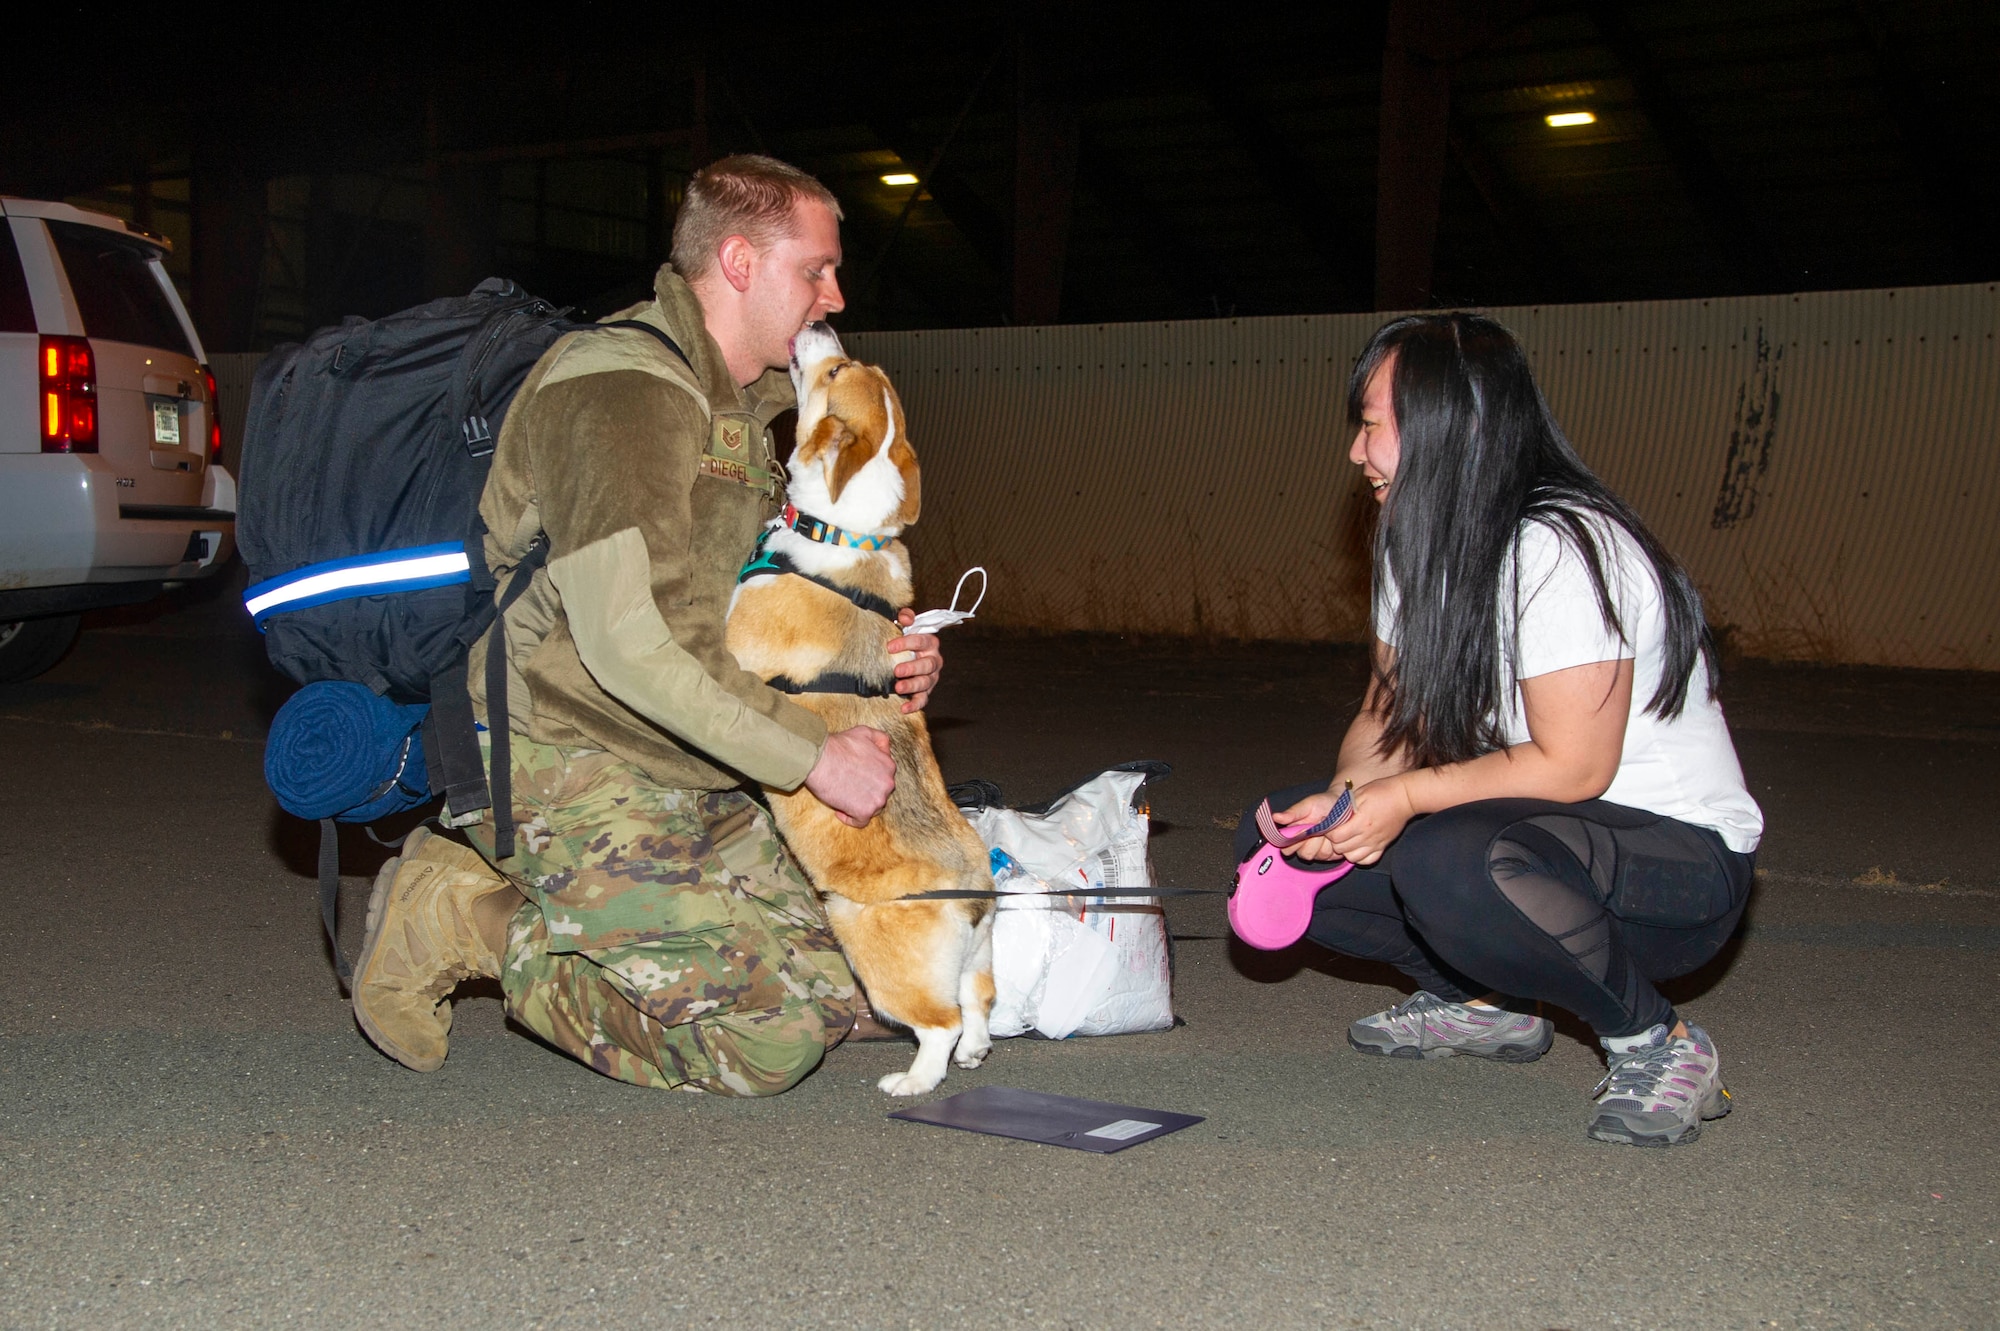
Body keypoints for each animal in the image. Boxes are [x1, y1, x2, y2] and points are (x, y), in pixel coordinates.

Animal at [724, 319, 996, 1087]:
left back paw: (913, 1081)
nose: (819, 323)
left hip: (867, 945)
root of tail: (972, 893)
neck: (844, 530)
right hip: (975, 963)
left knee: (939, 1024)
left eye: (834, 369)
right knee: (979, 1008)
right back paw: (972, 1053)